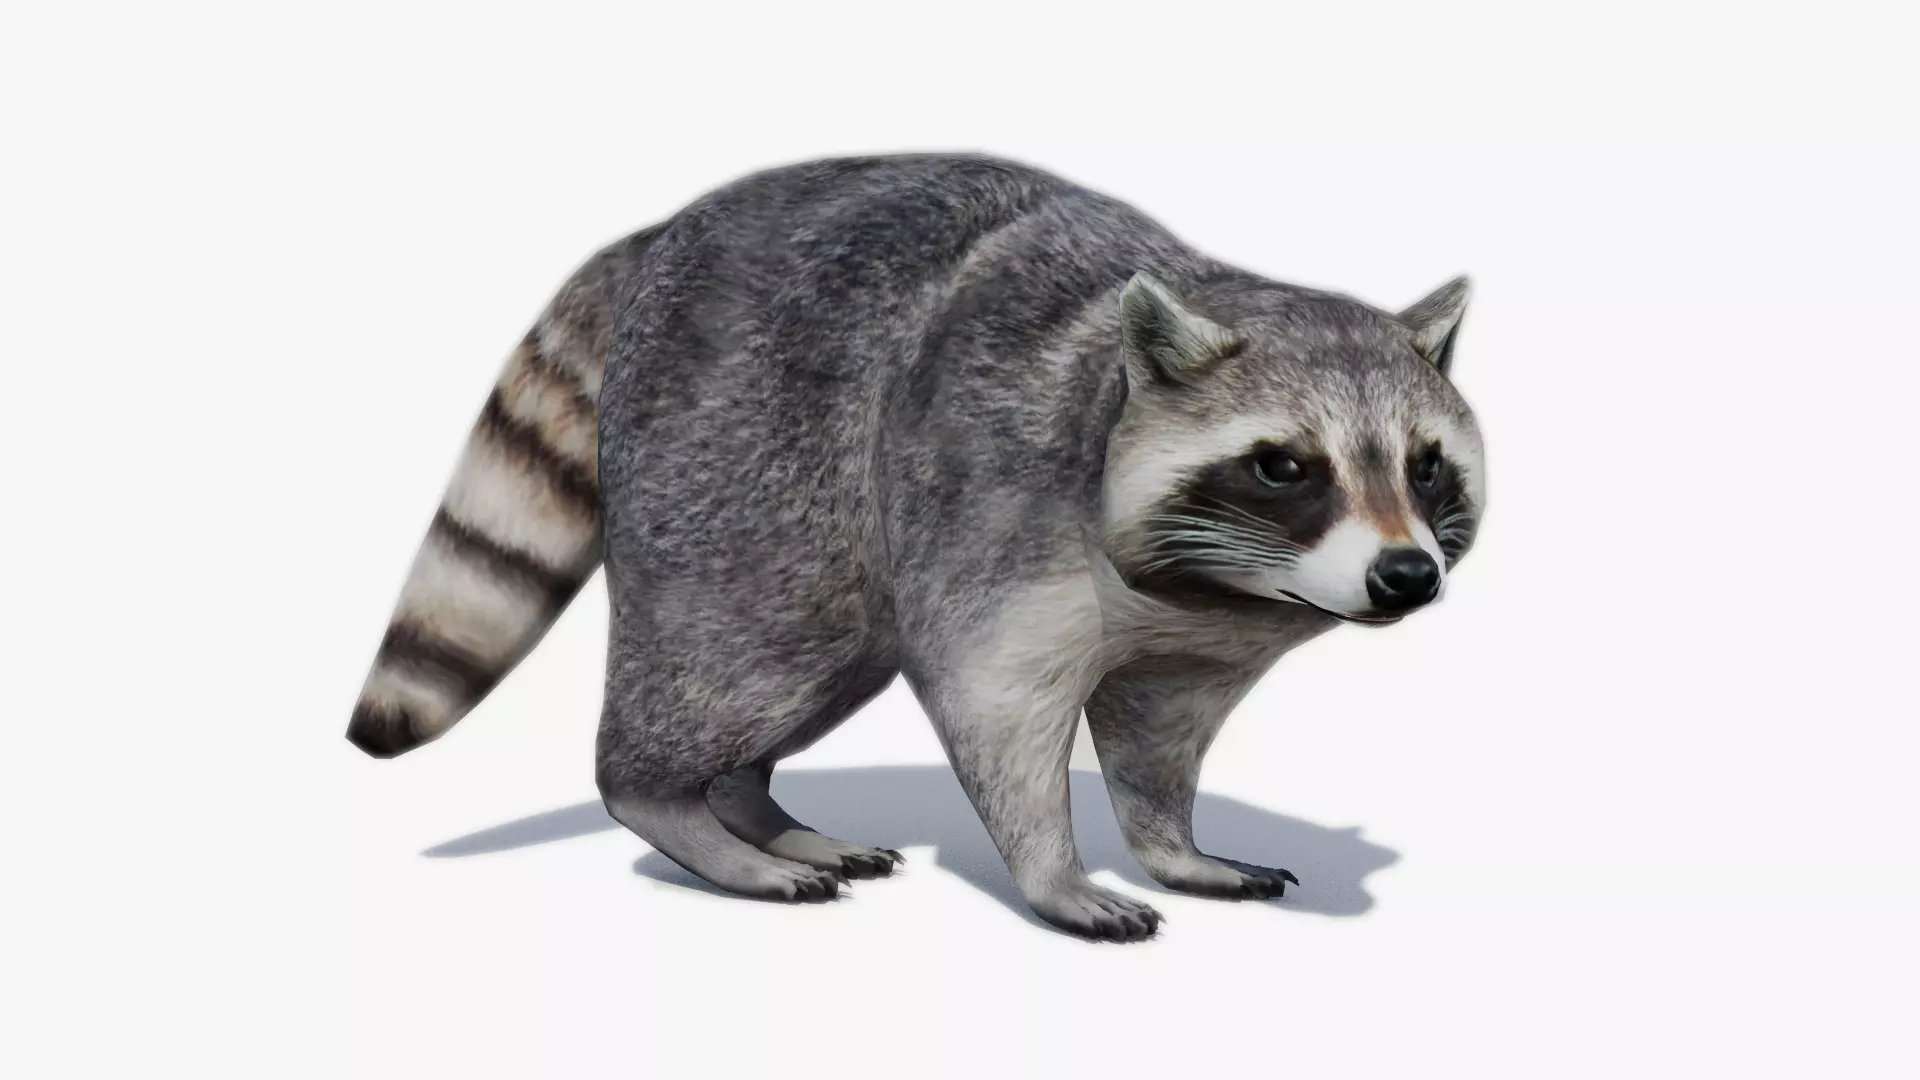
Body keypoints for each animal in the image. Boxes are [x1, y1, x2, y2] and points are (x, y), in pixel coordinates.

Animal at [348, 155, 1483, 941]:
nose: (1406, 576)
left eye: (1427, 467)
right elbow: (994, 705)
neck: (1212, 582)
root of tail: (666, 230)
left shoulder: (1200, 635)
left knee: (814, 672)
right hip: (737, 464)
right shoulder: (994, 505)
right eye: (1286, 467)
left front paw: (1171, 844)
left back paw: (754, 806)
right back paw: (679, 809)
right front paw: (1055, 875)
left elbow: (1159, 730)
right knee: (739, 656)